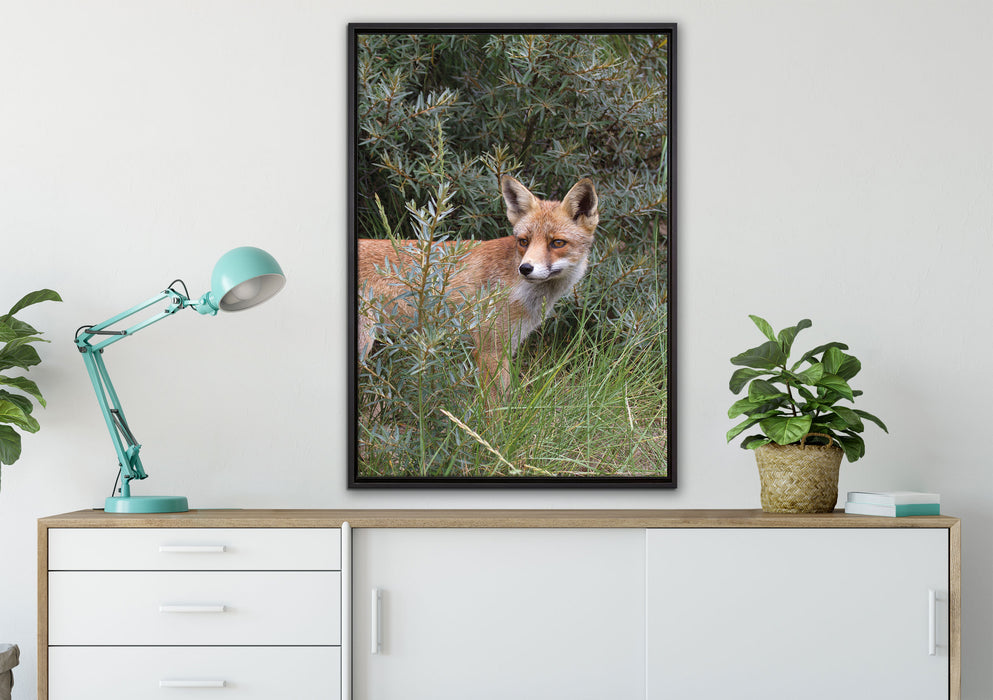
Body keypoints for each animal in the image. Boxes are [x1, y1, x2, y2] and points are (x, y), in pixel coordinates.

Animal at [358, 175, 599, 393]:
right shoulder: (490, 349)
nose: (525, 268)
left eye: (557, 243)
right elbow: (495, 407)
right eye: (524, 241)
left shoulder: (507, 346)